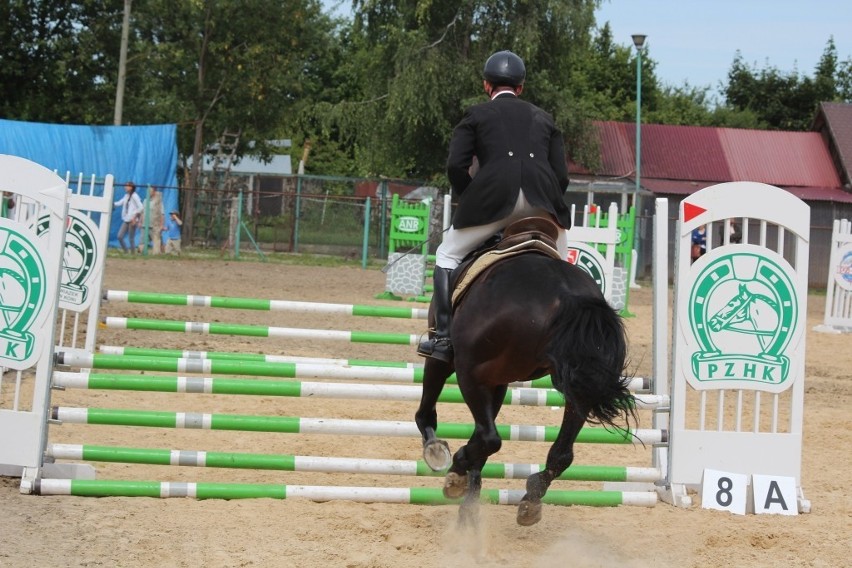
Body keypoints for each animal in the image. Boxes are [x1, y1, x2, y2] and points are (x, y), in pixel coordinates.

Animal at [412, 224, 640, 524]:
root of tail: (567, 295)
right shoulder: (499, 379)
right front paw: (470, 500)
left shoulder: (465, 366)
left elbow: (439, 412)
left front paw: (440, 454)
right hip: (576, 383)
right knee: (560, 452)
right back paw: (529, 499)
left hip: (469, 370)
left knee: (488, 436)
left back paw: (455, 469)